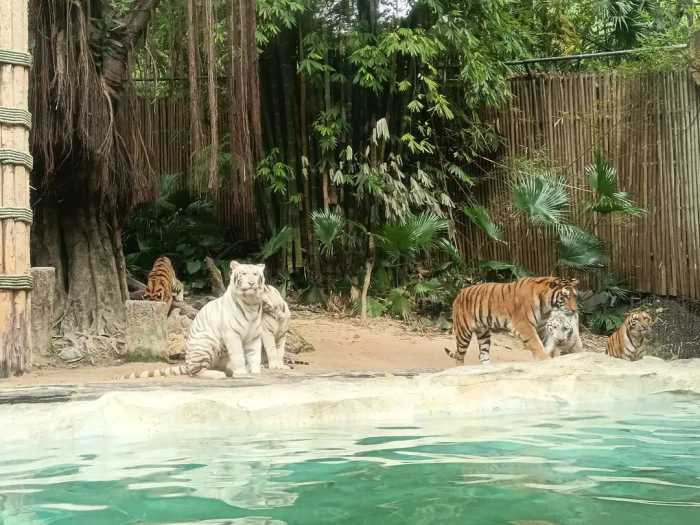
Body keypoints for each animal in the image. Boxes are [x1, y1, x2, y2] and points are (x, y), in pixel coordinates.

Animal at [117, 260, 266, 378]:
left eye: (255, 274)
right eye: (244, 273)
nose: (251, 283)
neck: (250, 304)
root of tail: (187, 363)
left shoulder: (254, 335)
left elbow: (254, 355)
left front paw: (255, 371)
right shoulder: (231, 334)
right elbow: (238, 354)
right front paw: (242, 373)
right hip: (206, 342)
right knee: (195, 371)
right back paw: (217, 374)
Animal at [446, 276, 576, 366]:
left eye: (575, 296)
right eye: (564, 296)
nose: (574, 310)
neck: (546, 307)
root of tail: (459, 294)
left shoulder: (542, 327)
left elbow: (547, 343)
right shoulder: (524, 325)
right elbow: (536, 343)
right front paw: (544, 359)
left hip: (483, 333)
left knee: (483, 354)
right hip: (463, 332)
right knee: (459, 356)